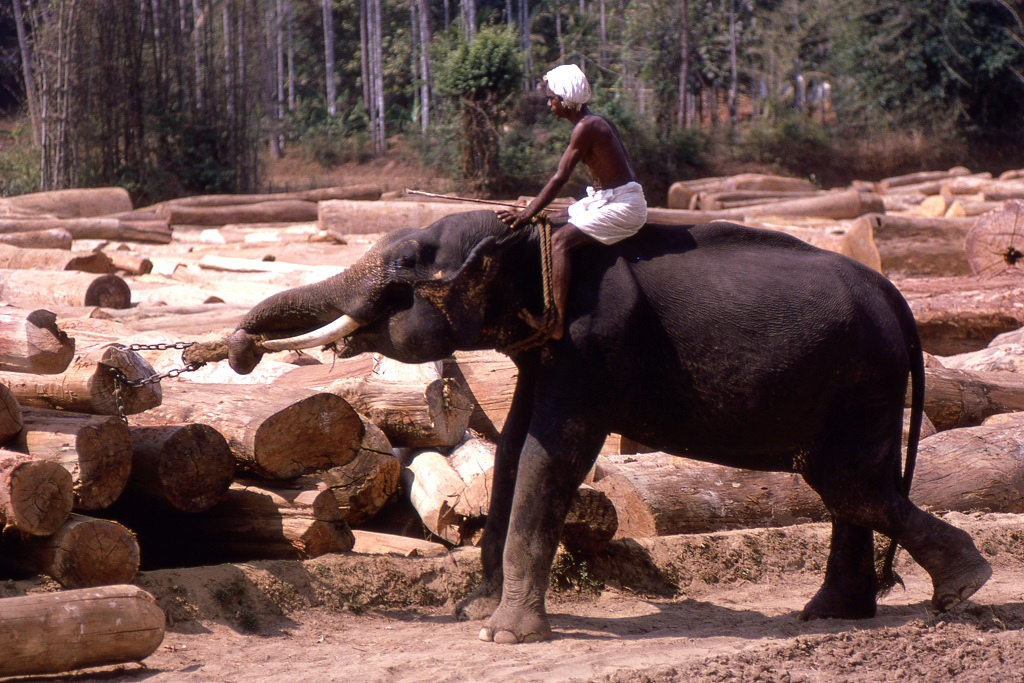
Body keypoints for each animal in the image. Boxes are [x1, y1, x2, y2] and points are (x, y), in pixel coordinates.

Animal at [226, 210, 991, 643]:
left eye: (408, 269)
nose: (238, 350)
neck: (534, 233)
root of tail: (898, 298)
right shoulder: (545, 350)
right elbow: (511, 447)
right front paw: (477, 612)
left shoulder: (593, 346)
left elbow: (549, 455)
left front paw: (504, 637)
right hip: (862, 384)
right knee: (849, 489)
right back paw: (833, 614)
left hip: (862, 380)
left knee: (850, 486)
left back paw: (962, 587)